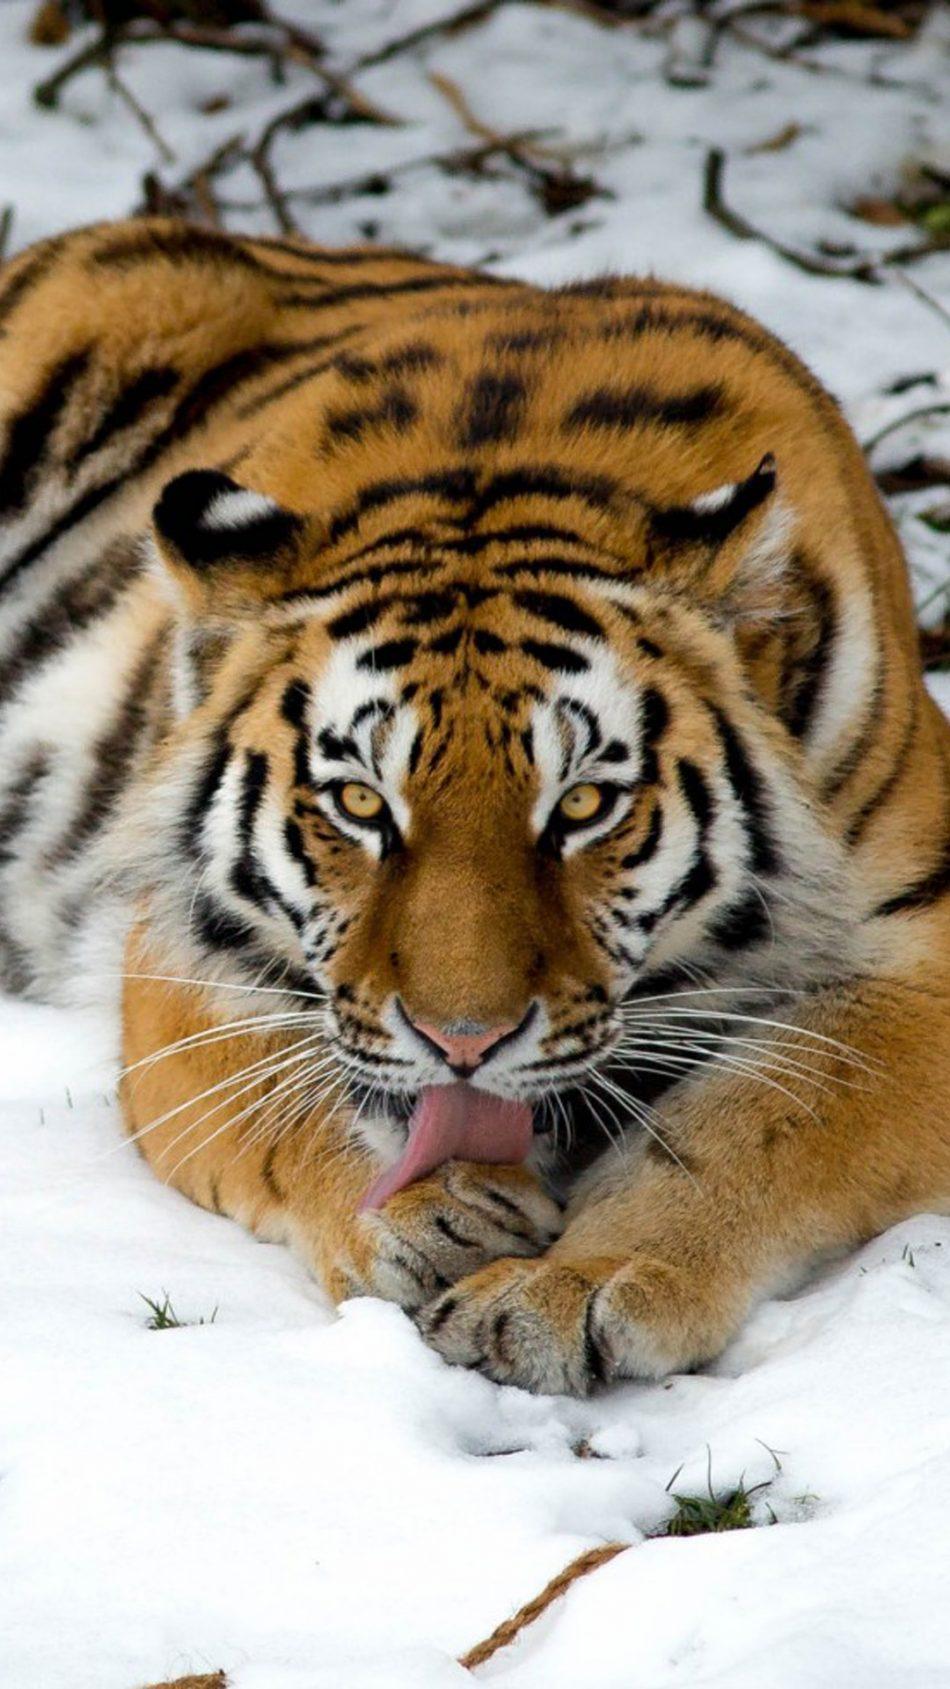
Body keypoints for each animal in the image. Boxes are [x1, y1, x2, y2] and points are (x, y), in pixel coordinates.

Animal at [0, 216, 947, 1396]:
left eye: (582, 804)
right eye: (358, 801)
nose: (462, 1043)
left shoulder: (922, 951)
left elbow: (754, 1121)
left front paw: (570, 1284)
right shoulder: (176, 953)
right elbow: (284, 1099)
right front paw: (425, 1216)